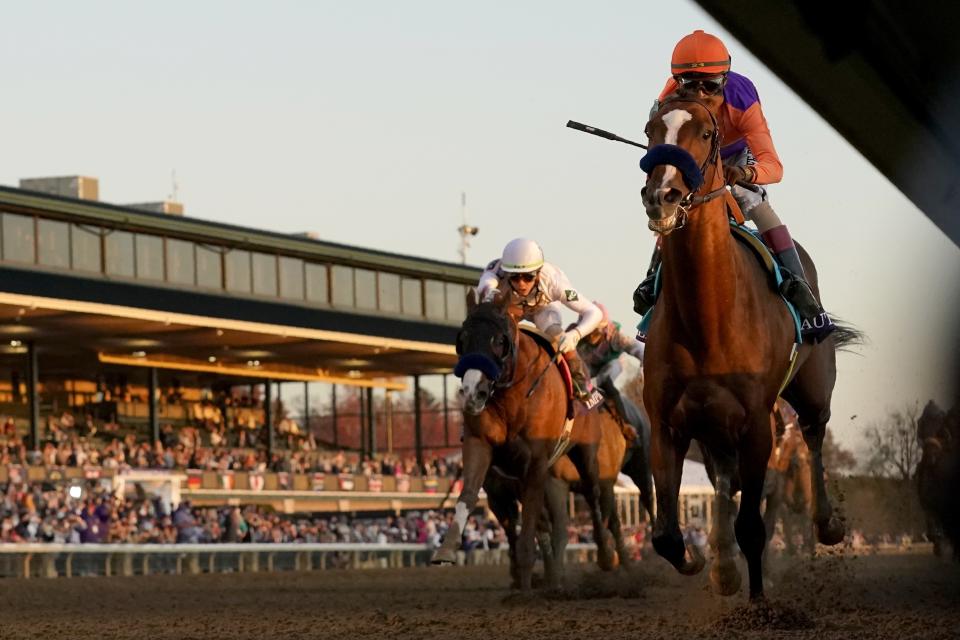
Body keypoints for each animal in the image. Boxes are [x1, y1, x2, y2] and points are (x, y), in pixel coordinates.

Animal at [432, 292, 612, 588]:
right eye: (462, 339)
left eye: (499, 340)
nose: (473, 393)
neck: (512, 399)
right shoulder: (483, 449)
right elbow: (468, 494)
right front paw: (446, 549)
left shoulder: (536, 462)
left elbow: (530, 524)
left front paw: (527, 578)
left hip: (586, 452)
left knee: (593, 494)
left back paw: (606, 556)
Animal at [636, 95, 864, 600]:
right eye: (649, 131)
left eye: (705, 133)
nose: (662, 196)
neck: (707, 318)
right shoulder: (668, 423)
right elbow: (665, 535)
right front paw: (701, 559)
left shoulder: (758, 426)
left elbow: (755, 528)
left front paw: (759, 601)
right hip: (714, 431)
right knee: (724, 480)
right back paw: (722, 564)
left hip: (812, 392)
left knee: (814, 437)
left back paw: (827, 523)